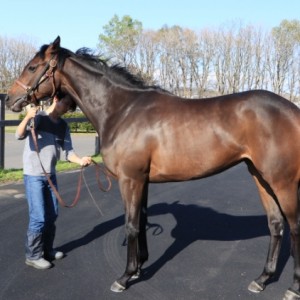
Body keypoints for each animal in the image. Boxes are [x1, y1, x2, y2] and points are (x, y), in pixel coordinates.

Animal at [5, 36, 300, 298]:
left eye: (32, 67)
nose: (9, 99)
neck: (122, 110)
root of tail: (292, 111)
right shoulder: (142, 180)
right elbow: (142, 220)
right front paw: (139, 268)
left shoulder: (130, 179)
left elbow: (131, 225)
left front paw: (124, 277)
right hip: (260, 177)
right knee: (276, 225)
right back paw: (262, 279)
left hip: (281, 182)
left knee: (294, 227)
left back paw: (292, 288)